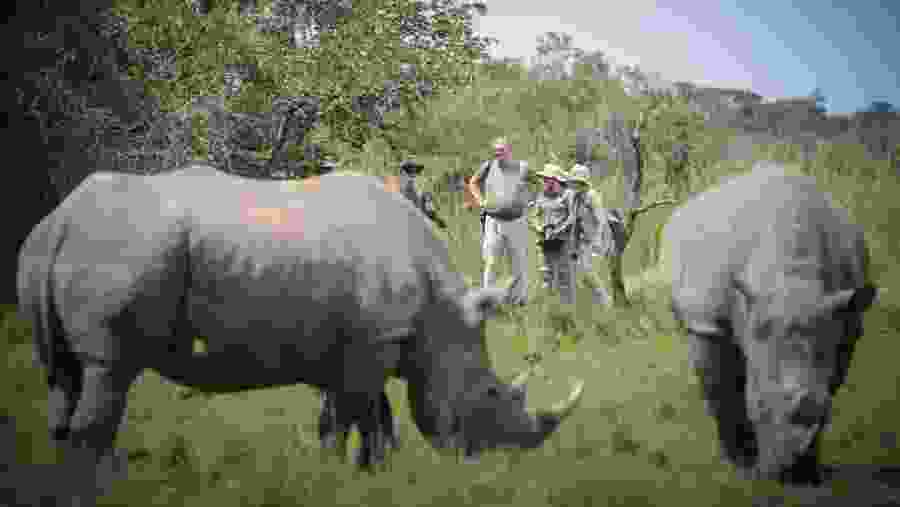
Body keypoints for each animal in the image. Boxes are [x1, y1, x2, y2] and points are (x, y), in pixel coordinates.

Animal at [17, 164, 583, 502]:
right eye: (488, 394)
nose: (494, 468)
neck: (441, 316)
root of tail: (61, 220)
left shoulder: (358, 345)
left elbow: (357, 416)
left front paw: (363, 475)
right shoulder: (373, 343)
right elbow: (358, 416)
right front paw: (349, 476)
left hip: (53, 250)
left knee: (63, 379)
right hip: (122, 253)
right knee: (107, 371)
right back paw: (99, 490)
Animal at [664, 162, 878, 485]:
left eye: (823, 412)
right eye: (758, 406)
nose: (781, 474)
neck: (791, 276)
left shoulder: (846, 324)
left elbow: (828, 382)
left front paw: (808, 473)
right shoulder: (708, 322)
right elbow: (723, 391)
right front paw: (741, 465)